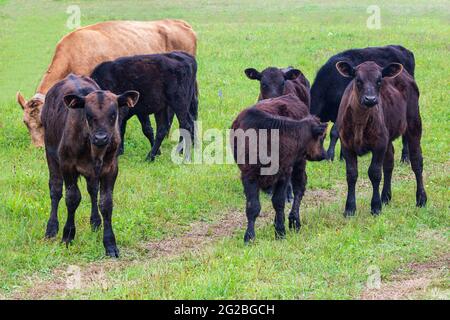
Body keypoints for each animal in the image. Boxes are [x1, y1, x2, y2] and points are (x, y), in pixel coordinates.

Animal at [41, 74, 139, 256]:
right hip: (51, 155)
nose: (101, 138)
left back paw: (95, 222)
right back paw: (51, 228)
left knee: (93, 191)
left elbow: (106, 203)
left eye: (113, 114)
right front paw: (68, 236)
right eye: (88, 114)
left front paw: (110, 243)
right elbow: (72, 198)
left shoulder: (111, 169)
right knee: (55, 190)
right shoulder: (67, 166)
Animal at [232, 95, 326, 242]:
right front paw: (249, 236)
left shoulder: (284, 173)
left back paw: (294, 221)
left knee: (299, 187)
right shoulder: (249, 175)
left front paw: (280, 231)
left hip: (299, 164)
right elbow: (253, 206)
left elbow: (279, 202)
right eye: (322, 138)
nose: (323, 154)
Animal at [336, 61, 428, 216]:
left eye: (379, 81)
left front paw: (375, 206)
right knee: (389, 163)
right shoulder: (346, 144)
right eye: (358, 80)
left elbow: (374, 173)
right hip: (388, 136)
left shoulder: (379, 144)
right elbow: (351, 174)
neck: (360, 122)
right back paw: (386, 197)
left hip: (414, 123)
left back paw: (421, 199)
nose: (370, 99)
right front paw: (349, 208)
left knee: (416, 161)